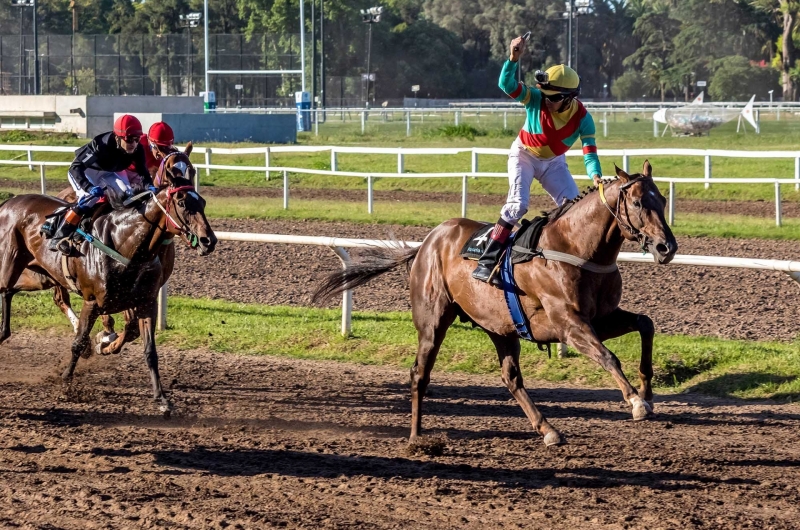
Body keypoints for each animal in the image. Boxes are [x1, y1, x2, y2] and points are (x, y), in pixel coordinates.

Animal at [0, 169, 216, 412]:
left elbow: (149, 350)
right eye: (181, 202)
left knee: (10, 291)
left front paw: (161, 398)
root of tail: (8, 202)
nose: (209, 240)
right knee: (10, 289)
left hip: (39, 275)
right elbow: (78, 343)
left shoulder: (146, 303)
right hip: (14, 263)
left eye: (202, 202)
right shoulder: (92, 302)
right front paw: (66, 383)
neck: (126, 244)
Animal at [49, 142, 196, 352]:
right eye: (170, 171)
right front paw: (106, 342)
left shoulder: (148, 289)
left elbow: (133, 327)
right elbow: (129, 321)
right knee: (62, 298)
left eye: (192, 170)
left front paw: (111, 344)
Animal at [316, 162, 680, 446]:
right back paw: (416, 437)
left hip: (499, 326)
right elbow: (608, 356)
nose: (667, 247)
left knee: (511, 378)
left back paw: (547, 429)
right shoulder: (568, 323)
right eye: (637, 201)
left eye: (662, 199)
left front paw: (647, 390)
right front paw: (636, 401)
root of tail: (427, 242)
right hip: (433, 320)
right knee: (420, 372)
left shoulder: (600, 318)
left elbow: (645, 323)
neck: (576, 248)